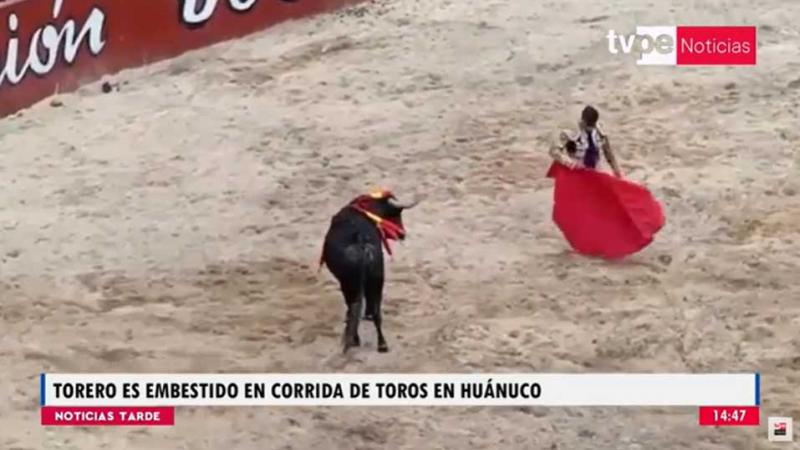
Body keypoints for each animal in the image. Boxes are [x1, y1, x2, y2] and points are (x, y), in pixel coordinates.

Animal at [318, 192, 418, 354]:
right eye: (396, 214)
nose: (402, 234)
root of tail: (361, 243)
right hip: (377, 279)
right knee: (375, 311)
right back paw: (382, 344)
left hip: (349, 284)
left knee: (353, 308)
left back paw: (355, 339)